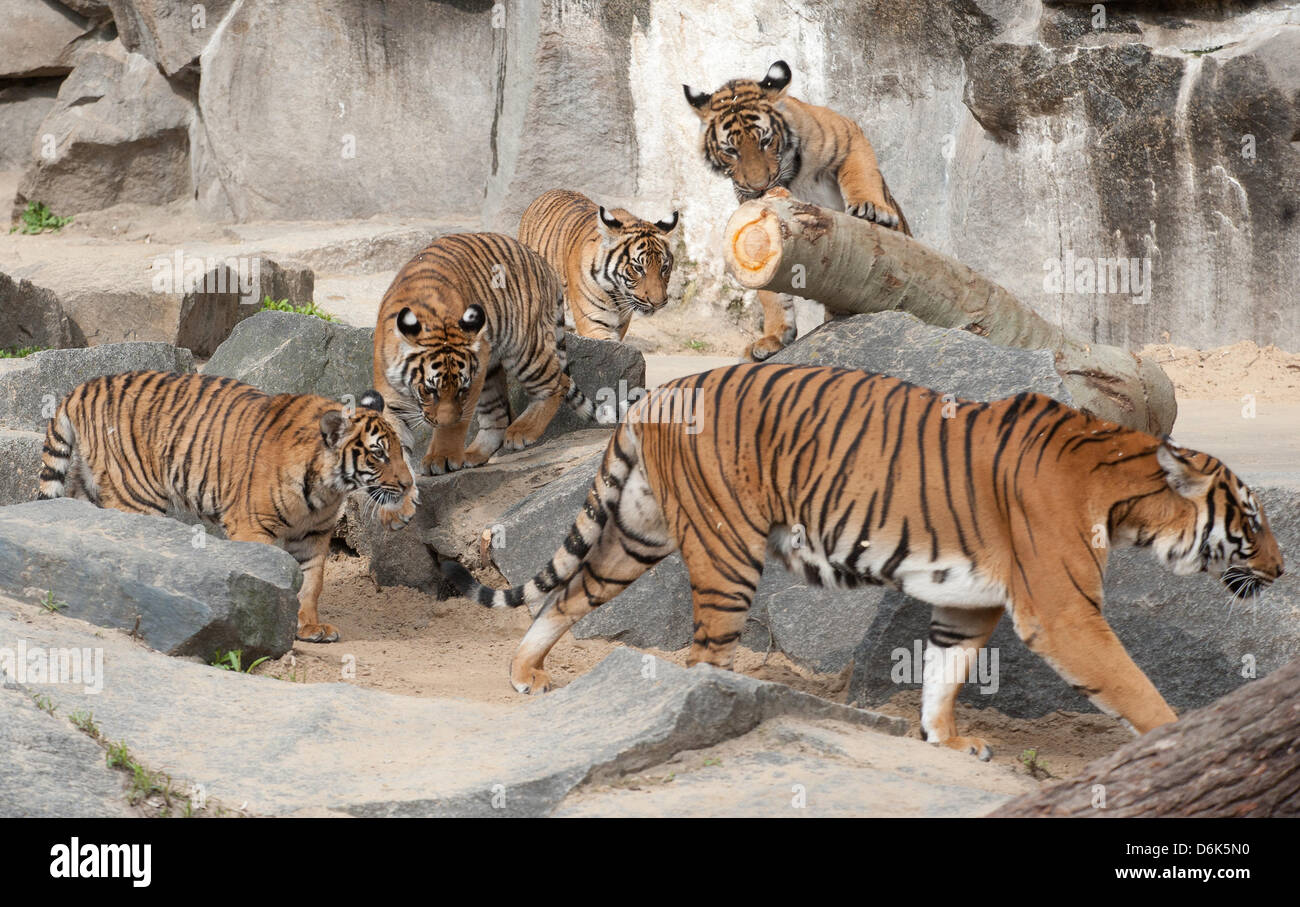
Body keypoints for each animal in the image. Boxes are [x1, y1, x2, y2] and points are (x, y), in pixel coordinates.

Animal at [36, 369, 410, 641]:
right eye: (378, 453)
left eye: (400, 450)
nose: (408, 484)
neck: (327, 488)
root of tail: (82, 387)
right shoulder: (252, 527)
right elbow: (274, 576)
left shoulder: (313, 536)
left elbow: (311, 583)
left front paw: (309, 627)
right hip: (135, 494)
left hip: (90, 486)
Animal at [517, 188, 681, 340]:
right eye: (638, 268)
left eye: (664, 267)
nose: (658, 304)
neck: (618, 296)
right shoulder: (593, 324)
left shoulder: (620, 327)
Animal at [686, 59, 909, 363]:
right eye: (731, 150)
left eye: (765, 141)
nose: (759, 186)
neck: (791, 178)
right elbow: (769, 290)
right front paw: (773, 337)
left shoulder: (848, 135)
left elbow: (860, 172)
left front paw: (872, 208)